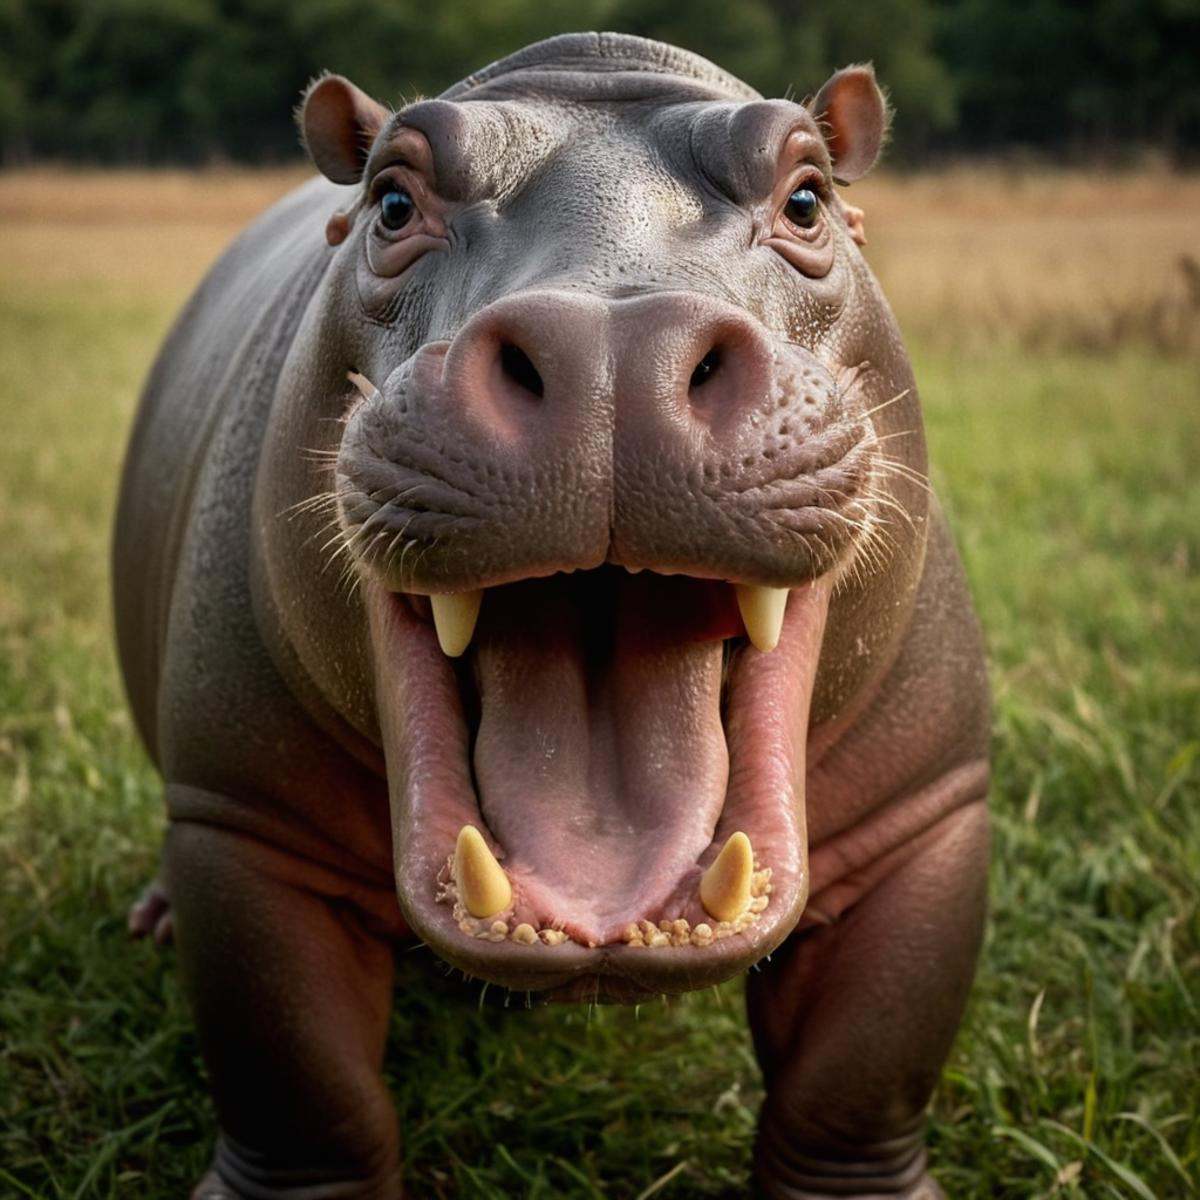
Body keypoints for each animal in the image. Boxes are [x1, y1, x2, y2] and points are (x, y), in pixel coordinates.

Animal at [114, 32, 990, 1200]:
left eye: (807, 197)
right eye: (391, 202)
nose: (612, 346)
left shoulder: (928, 811)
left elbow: (857, 1076)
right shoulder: (242, 820)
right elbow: (302, 1087)